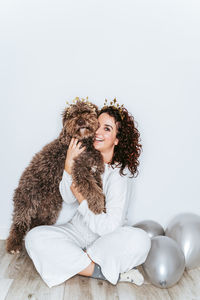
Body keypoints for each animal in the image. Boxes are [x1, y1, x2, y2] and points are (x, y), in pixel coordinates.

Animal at [6, 98, 104, 253]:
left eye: (86, 111)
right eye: (72, 115)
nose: (80, 121)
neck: (84, 143)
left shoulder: (93, 170)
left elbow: (98, 186)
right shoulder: (79, 171)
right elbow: (90, 188)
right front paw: (98, 205)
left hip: (50, 210)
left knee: (36, 225)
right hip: (27, 201)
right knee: (19, 223)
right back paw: (14, 244)